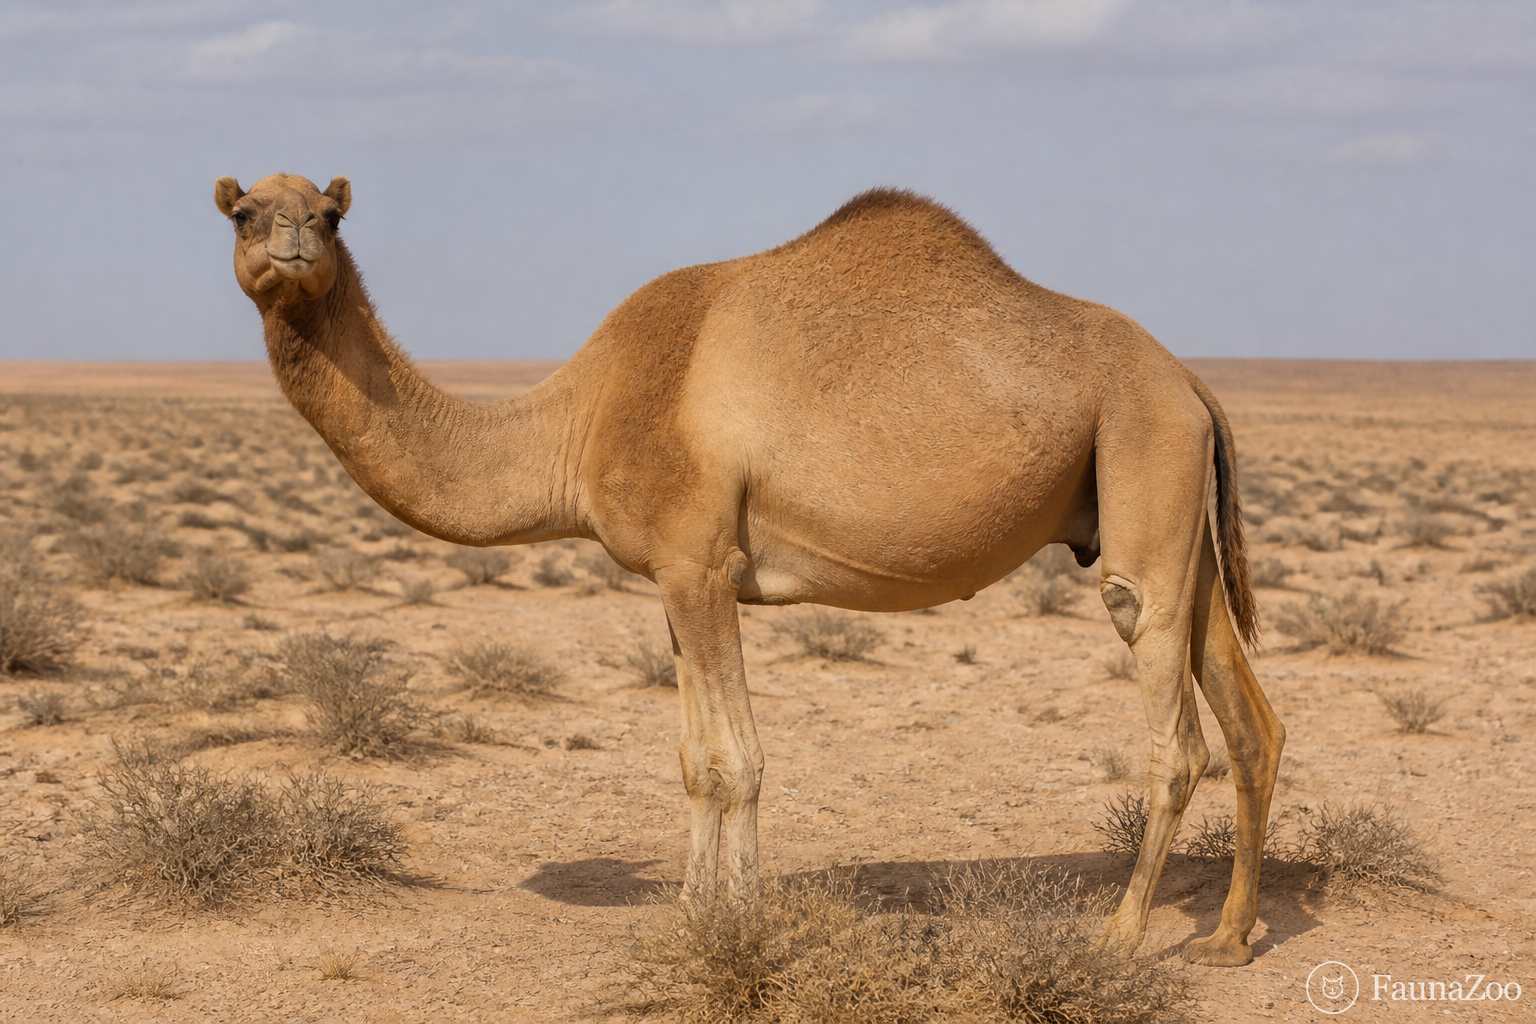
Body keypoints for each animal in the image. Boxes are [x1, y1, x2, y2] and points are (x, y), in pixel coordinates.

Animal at [214, 172, 1285, 967]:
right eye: (243, 209)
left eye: (330, 213)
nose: (295, 241)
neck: (581, 417)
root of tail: (1191, 381)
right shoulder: (673, 580)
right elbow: (696, 760)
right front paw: (692, 911)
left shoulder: (699, 561)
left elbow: (738, 760)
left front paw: (740, 923)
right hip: (1167, 505)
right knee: (1250, 719)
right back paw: (1231, 937)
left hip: (1141, 455)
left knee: (1172, 719)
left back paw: (1119, 936)